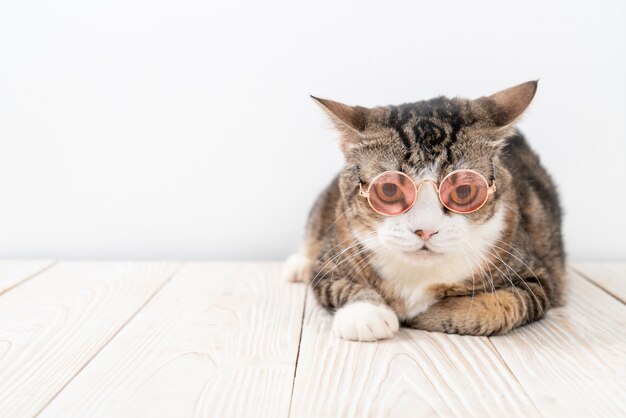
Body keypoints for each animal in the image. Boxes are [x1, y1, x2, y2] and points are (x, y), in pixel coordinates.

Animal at [280, 81, 564, 340]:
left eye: (463, 192)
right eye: (389, 189)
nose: (425, 230)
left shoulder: (536, 275)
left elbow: (501, 306)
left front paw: (423, 315)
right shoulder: (333, 254)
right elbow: (333, 283)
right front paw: (365, 314)